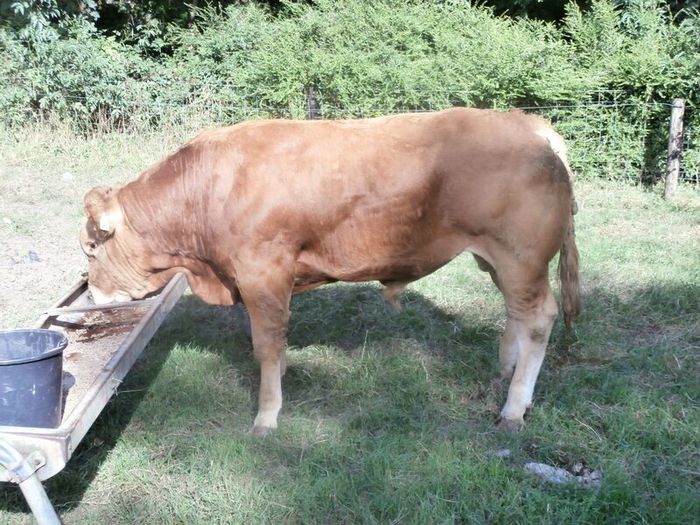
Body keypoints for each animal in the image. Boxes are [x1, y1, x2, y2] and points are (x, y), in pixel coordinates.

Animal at [80, 108, 580, 435]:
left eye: (90, 248)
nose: (93, 297)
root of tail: (528, 123)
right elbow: (274, 342)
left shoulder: (262, 271)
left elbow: (265, 345)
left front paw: (267, 417)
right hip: (498, 259)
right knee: (516, 314)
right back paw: (504, 370)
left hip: (521, 256)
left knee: (539, 319)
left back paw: (514, 407)